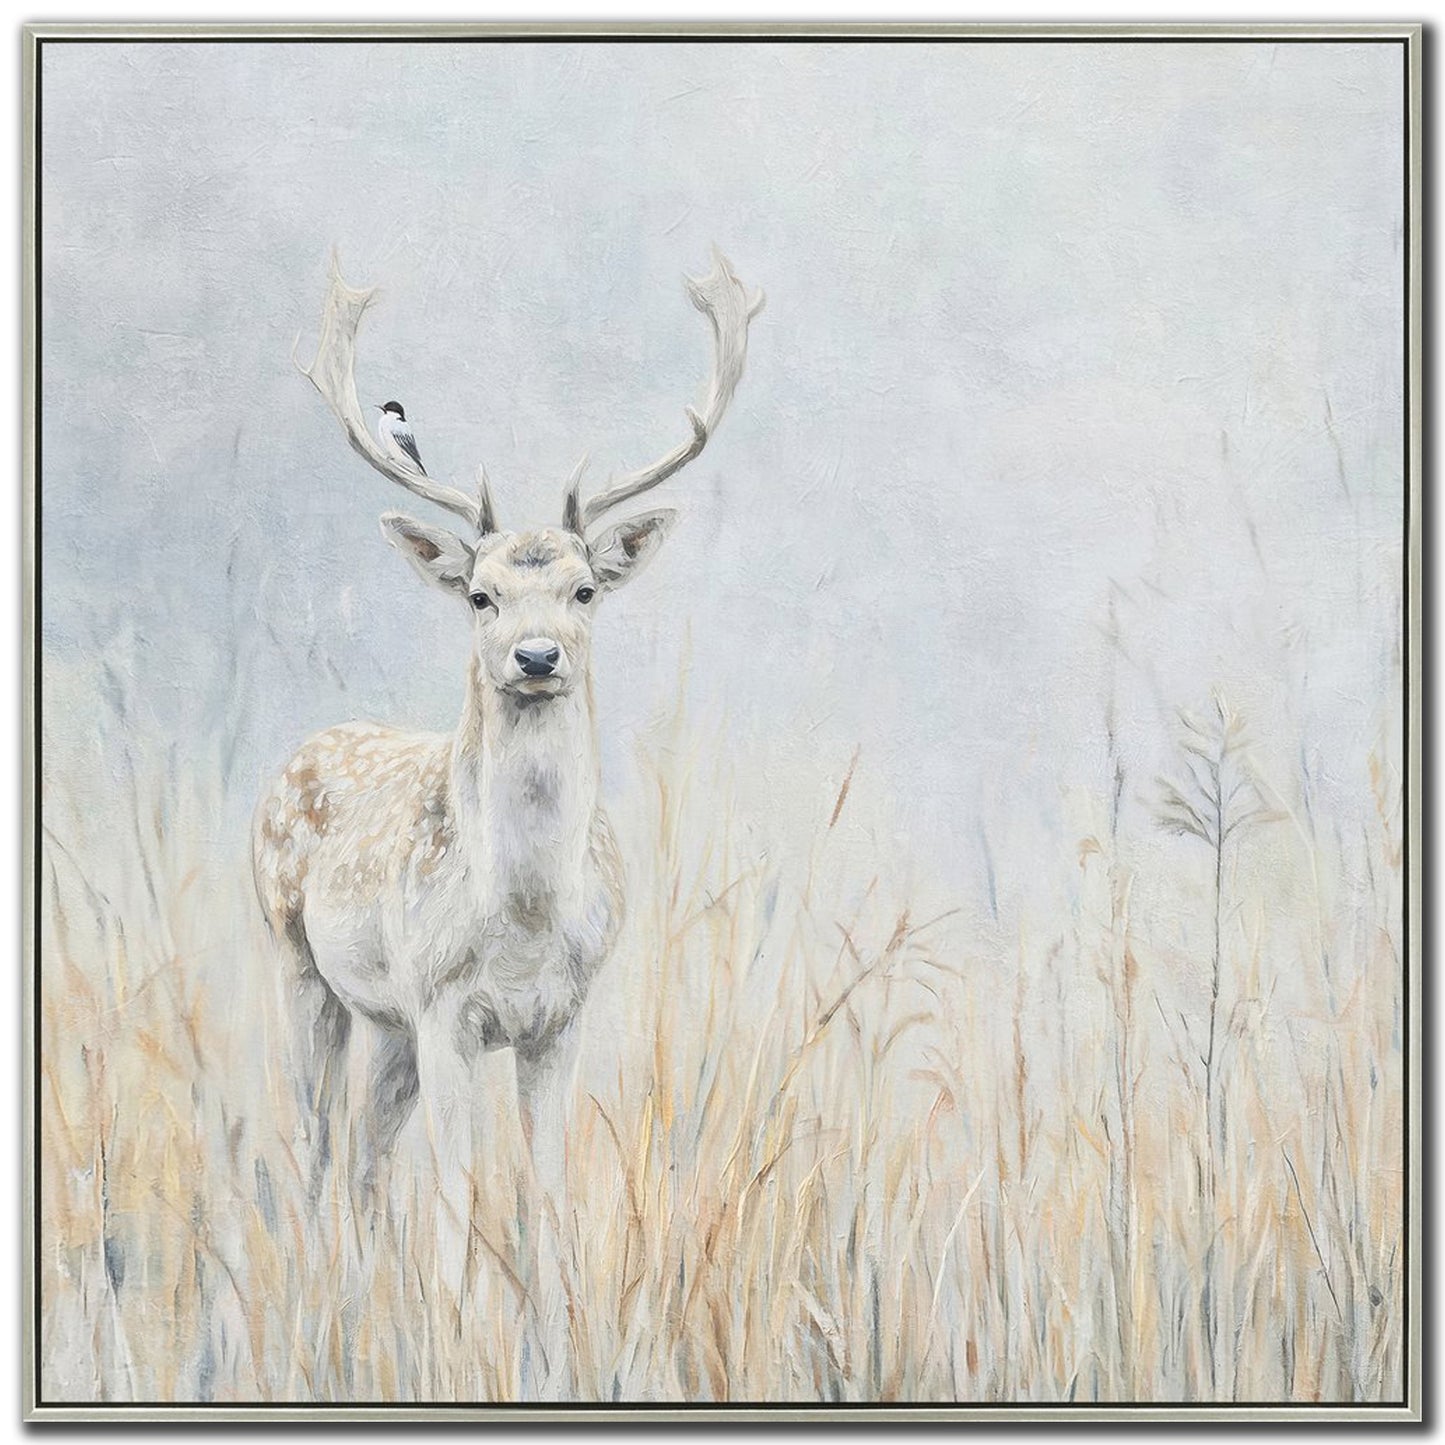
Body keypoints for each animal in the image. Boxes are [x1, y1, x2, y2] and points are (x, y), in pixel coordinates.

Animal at [251, 248, 762, 1387]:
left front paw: (552, 1356)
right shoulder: (448, 1007)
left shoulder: (559, 1017)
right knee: (312, 1148)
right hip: (301, 965)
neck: (524, 919)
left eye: (583, 590)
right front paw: (454, 1347)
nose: (536, 656)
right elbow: (456, 1195)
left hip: (387, 1020)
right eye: (479, 595)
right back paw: (318, 1325)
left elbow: (543, 1195)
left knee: (364, 1160)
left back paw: (363, 1320)